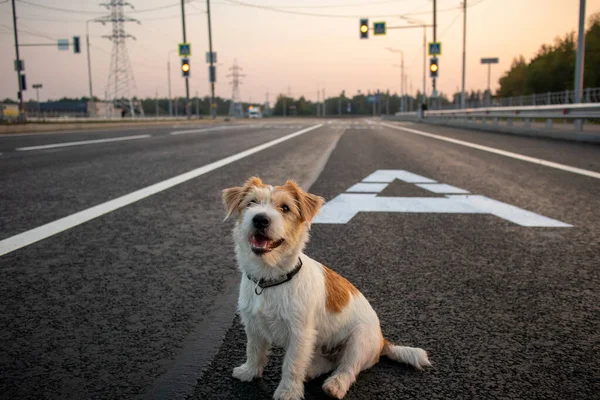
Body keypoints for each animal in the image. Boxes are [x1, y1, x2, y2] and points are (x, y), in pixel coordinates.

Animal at [223, 178, 428, 400]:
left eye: (285, 207)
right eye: (251, 202)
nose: (260, 219)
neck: (270, 279)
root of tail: (383, 341)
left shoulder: (300, 334)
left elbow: (292, 365)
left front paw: (288, 391)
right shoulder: (253, 326)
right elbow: (253, 351)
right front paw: (249, 372)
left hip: (359, 341)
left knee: (347, 367)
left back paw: (335, 385)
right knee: (329, 362)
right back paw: (311, 372)